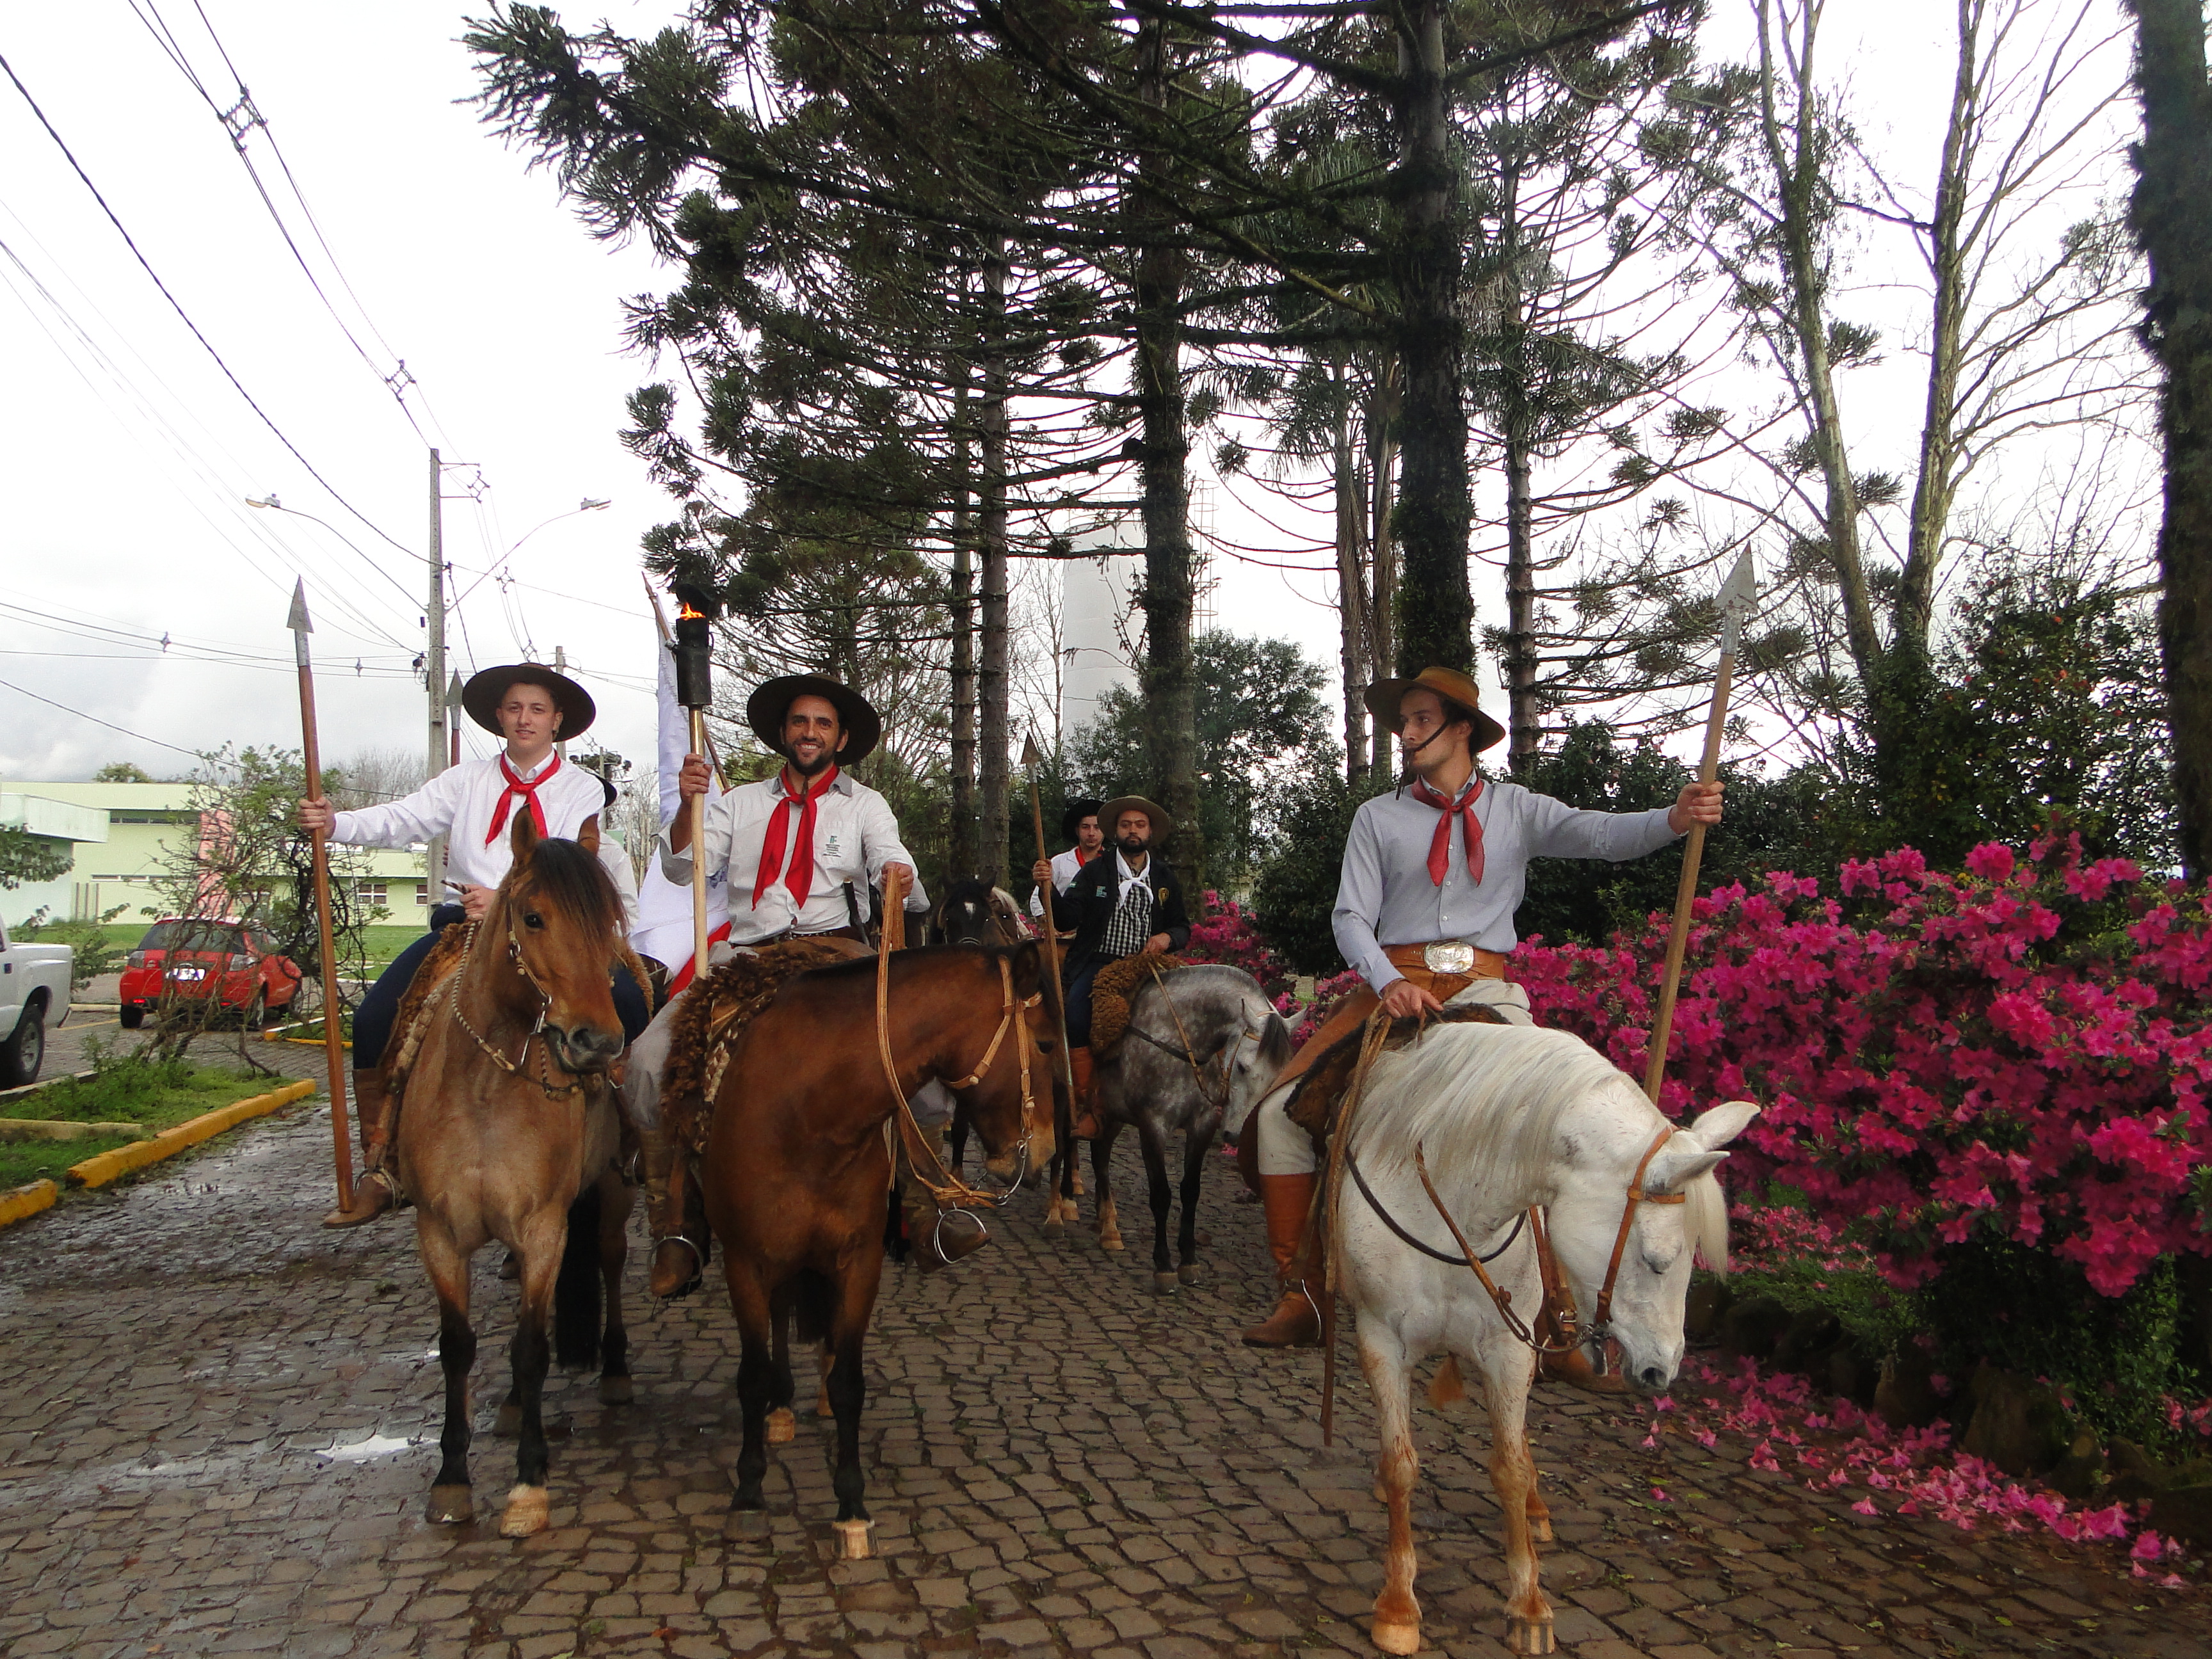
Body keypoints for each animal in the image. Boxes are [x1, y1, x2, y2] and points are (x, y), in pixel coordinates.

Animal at [397, 810, 639, 1539]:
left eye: (612, 920)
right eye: (533, 918)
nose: (597, 1044)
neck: (484, 1088)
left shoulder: (543, 1229)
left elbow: (532, 1346)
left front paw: (530, 1484)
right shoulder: (440, 1233)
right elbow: (458, 1345)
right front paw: (451, 1479)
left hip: (610, 1197)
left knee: (610, 1262)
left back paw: (615, 1369)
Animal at [698, 941, 1060, 1554]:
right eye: (1045, 1042)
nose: (1047, 1153)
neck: (809, 1111)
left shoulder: (859, 1262)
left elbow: (848, 1382)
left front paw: (851, 1507)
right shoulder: (744, 1260)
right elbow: (750, 1375)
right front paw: (747, 1493)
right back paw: (778, 1409)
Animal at [1045, 964, 1290, 1292]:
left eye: (1278, 1076)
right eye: (1242, 1067)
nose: (1236, 1135)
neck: (1180, 1040)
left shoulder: (1203, 1125)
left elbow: (1191, 1191)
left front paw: (1188, 1260)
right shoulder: (1153, 1126)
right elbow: (1161, 1195)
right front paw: (1163, 1266)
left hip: (1110, 1113)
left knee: (1100, 1157)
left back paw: (1107, 1225)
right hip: (1062, 1096)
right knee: (1061, 1148)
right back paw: (1057, 1212)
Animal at [1328, 1020, 1755, 1655]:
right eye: (1657, 1260)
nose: (1662, 1370)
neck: (1454, 1210)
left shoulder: (1508, 1351)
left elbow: (1511, 1468)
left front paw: (1528, 1604)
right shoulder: (1381, 1340)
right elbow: (1400, 1464)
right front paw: (1398, 1606)